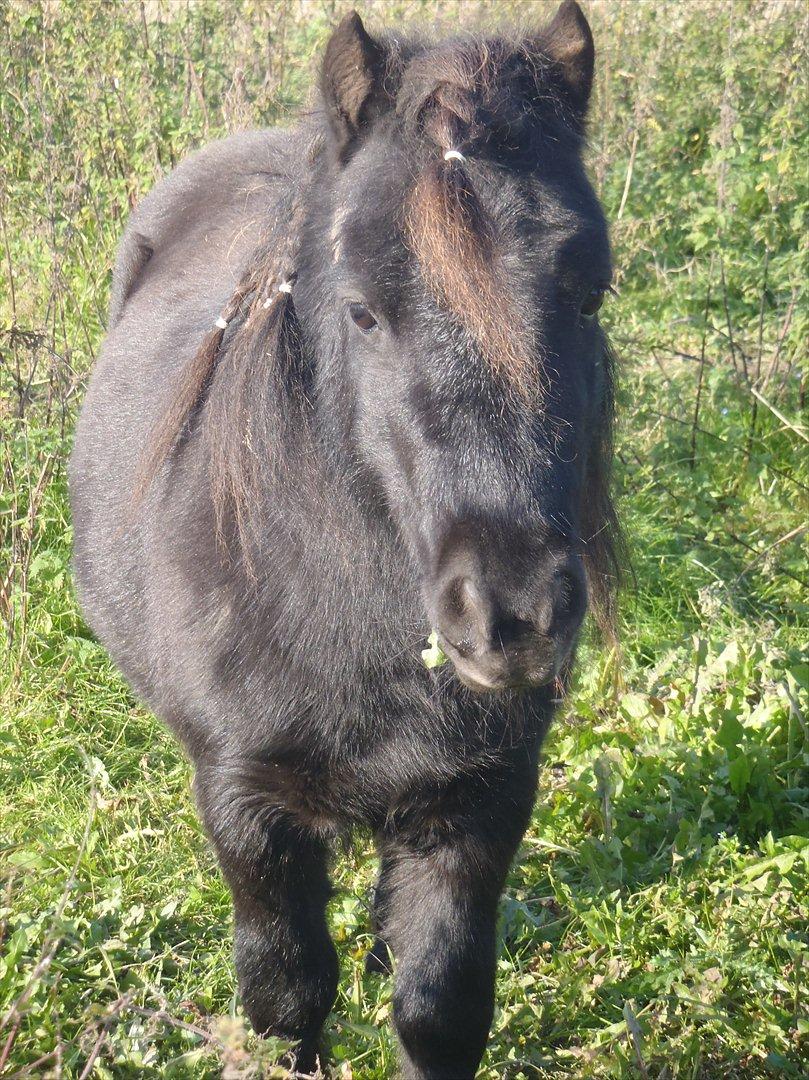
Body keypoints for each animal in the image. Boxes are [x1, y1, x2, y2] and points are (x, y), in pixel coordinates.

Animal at [69, 1, 620, 1074]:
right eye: (362, 309)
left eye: (587, 296)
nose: (513, 613)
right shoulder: (248, 810)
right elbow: (286, 994)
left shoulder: (481, 802)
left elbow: (438, 1006)